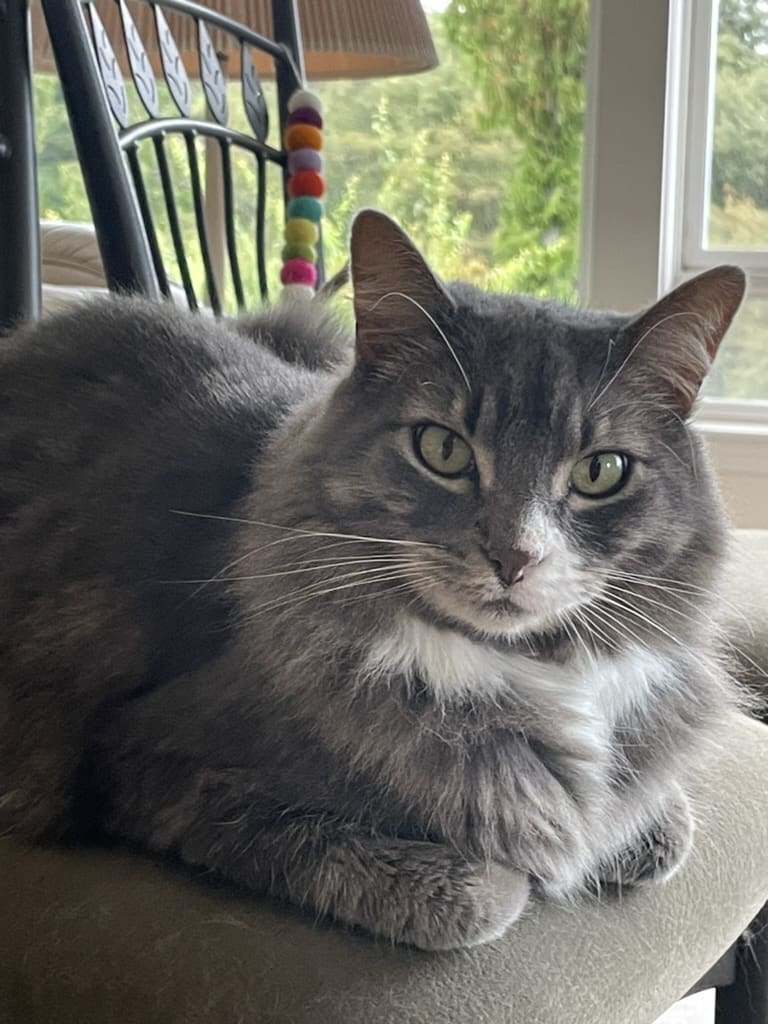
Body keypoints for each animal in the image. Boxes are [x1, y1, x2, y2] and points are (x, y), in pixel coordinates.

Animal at [0, 209, 745, 950]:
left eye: (600, 472)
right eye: (441, 449)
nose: (515, 557)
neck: (520, 665)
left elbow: (658, 821)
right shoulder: (152, 768)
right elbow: (480, 891)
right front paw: (518, 866)